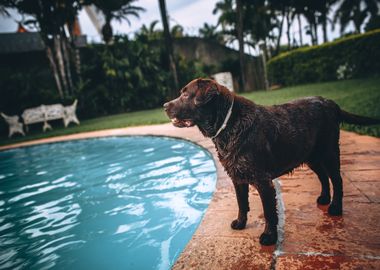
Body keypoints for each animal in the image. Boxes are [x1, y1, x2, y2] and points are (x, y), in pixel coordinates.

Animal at [163, 77, 380, 245]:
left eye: (186, 95)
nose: (164, 106)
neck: (228, 124)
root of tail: (331, 103)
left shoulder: (263, 181)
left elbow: (269, 212)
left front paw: (269, 237)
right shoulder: (237, 177)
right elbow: (241, 204)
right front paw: (240, 223)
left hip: (329, 152)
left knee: (337, 180)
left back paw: (335, 207)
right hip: (311, 156)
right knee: (323, 177)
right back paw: (324, 199)